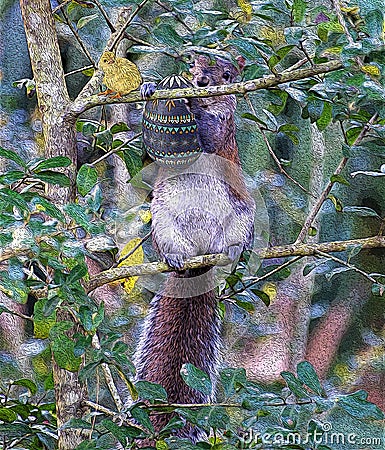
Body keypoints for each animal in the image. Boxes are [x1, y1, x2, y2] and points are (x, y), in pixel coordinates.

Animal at [135, 54, 255, 438]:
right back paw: (174, 256)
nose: (200, 82)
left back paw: (232, 251)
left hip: (241, 214)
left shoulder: (224, 129)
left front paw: (189, 103)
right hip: (162, 221)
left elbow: (211, 135)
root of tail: (200, 258)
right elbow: (150, 152)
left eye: (227, 74)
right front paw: (151, 88)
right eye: (192, 65)